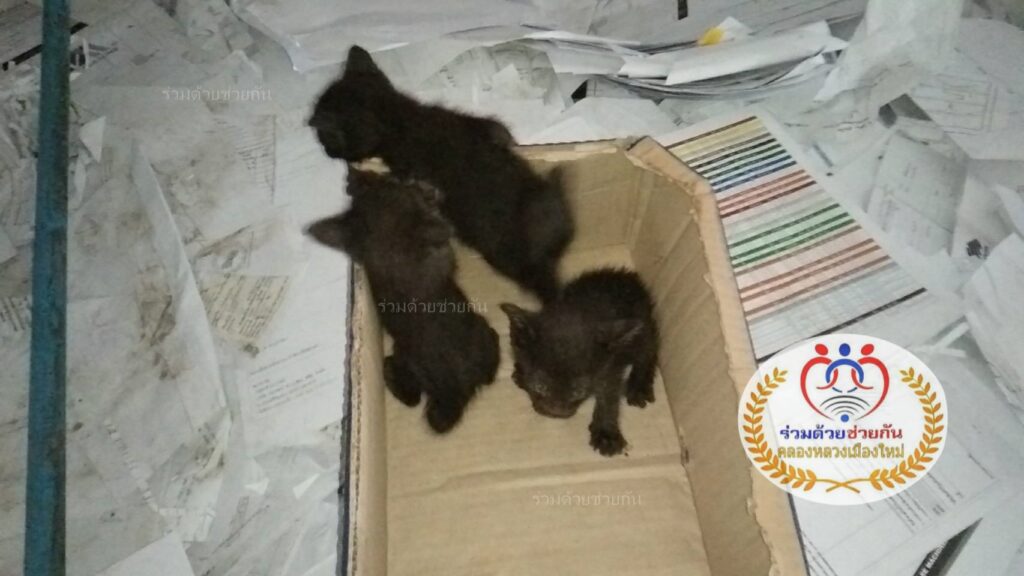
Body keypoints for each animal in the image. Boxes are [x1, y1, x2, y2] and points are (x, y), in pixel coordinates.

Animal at [308, 169, 500, 433]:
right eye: (397, 185)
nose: (399, 177)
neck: (388, 240)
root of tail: (452, 390)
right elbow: (441, 229)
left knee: (413, 398)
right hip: (480, 330)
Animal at [309, 45, 574, 302]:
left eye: (325, 138)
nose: (326, 151)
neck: (402, 121)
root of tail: (539, 263)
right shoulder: (468, 121)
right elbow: (497, 131)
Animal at [500, 268, 658, 456]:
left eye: (579, 391)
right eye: (540, 386)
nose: (556, 411)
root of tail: (627, 275)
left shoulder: (610, 365)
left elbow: (609, 396)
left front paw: (606, 434)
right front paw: (521, 374)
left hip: (642, 329)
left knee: (648, 350)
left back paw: (639, 388)